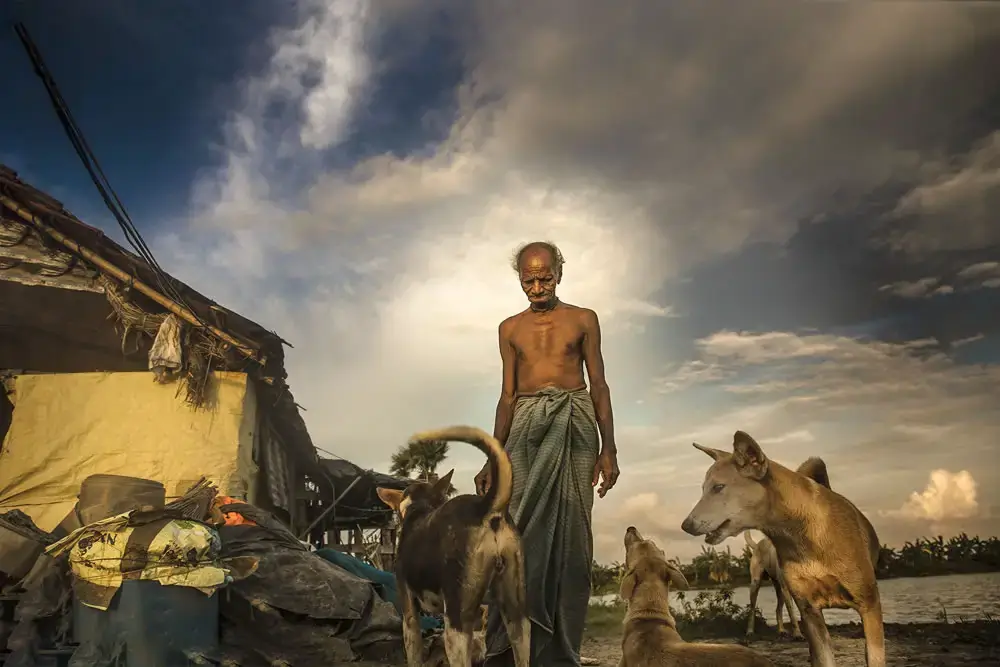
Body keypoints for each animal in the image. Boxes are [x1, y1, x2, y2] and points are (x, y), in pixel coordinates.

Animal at [376, 428, 532, 667]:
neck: (418, 509)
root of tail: (486, 507)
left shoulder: (410, 615)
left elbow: (414, 655)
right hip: (517, 617)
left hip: (456, 627)